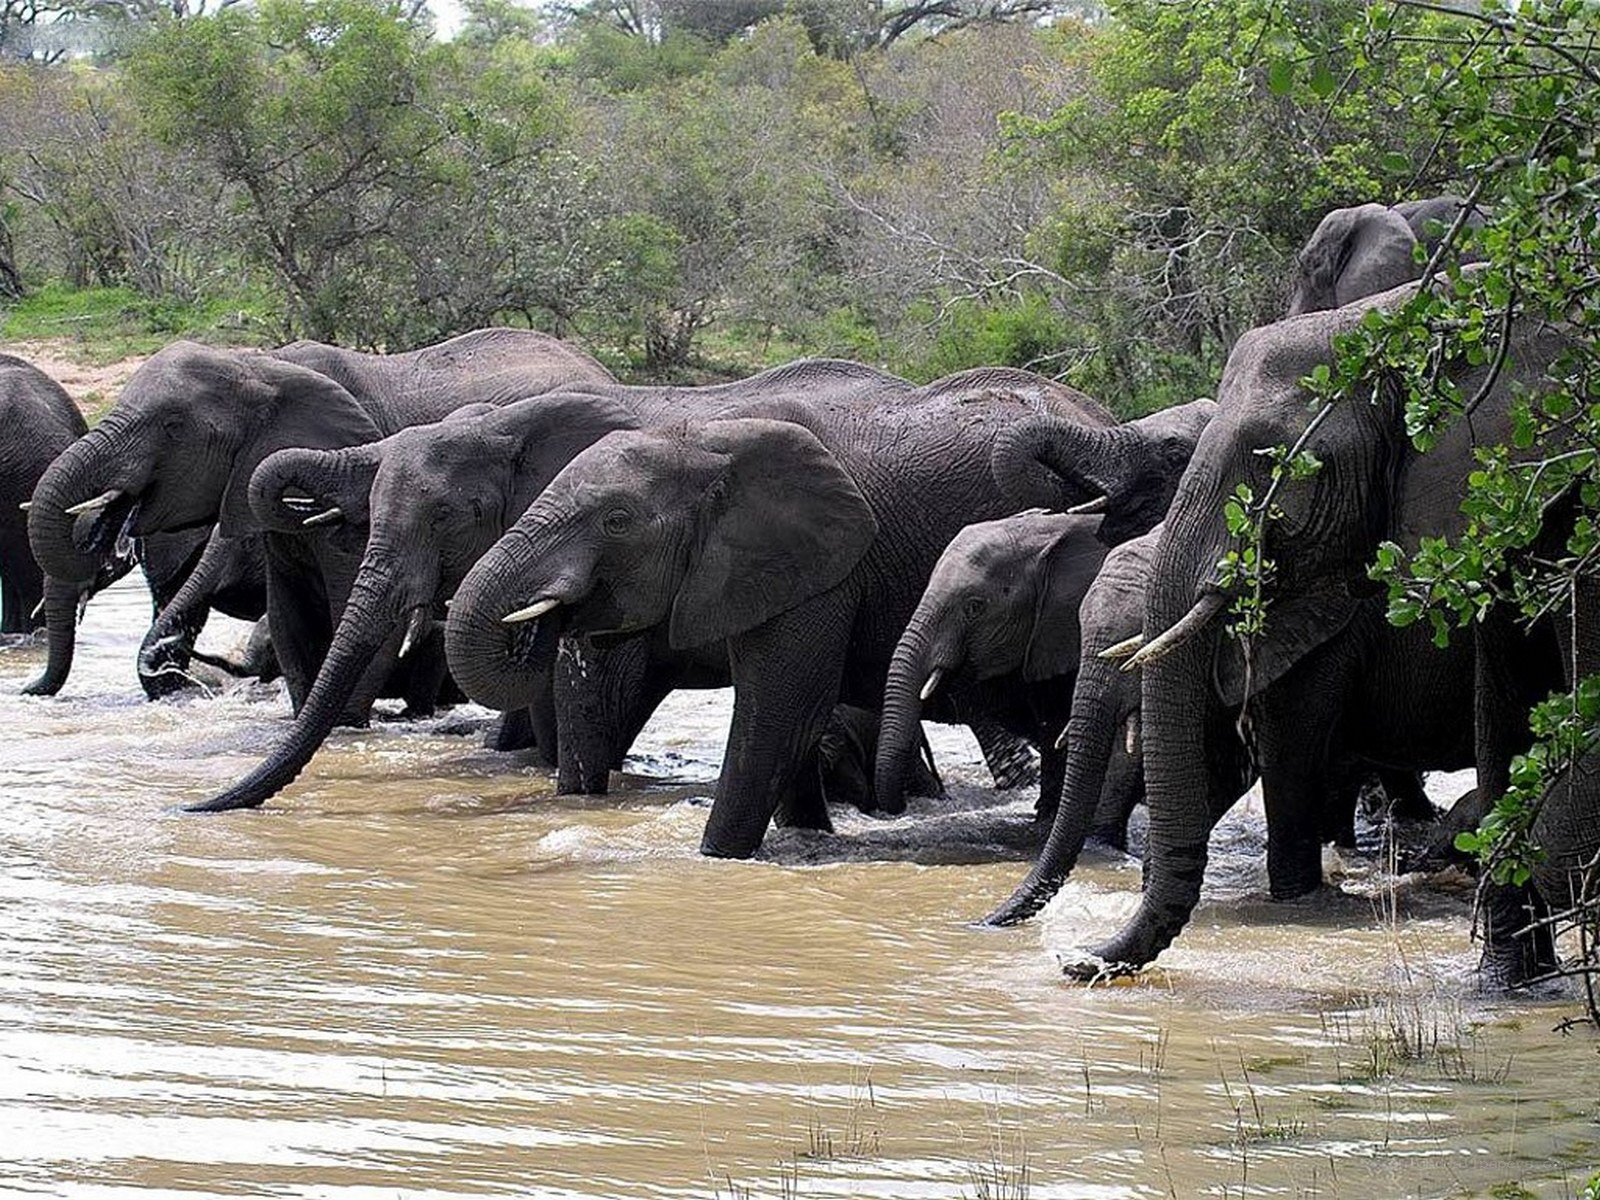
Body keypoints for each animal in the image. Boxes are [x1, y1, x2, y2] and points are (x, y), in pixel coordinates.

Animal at [874, 510, 1122, 820]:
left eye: (974, 607)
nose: (902, 806)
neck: (1049, 531)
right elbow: (1052, 716)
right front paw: (1046, 813)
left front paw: (1048, 815)